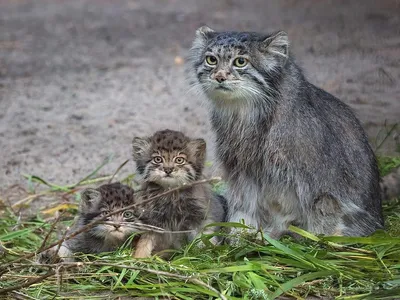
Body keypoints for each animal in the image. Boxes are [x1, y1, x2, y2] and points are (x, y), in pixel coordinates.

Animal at [131, 129, 225, 258]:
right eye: (158, 159)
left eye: (179, 160)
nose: (168, 169)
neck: (171, 193)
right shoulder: (153, 220)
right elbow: (145, 241)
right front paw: (139, 257)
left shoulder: (199, 217)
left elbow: (204, 237)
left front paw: (206, 255)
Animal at [188, 27, 384, 239]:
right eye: (211, 60)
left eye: (240, 61)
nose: (219, 77)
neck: (247, 116)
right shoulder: (242, 168)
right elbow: (244, 204)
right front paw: (238, 234)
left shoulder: (323, 181)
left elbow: (325, 212)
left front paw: (320, 239)